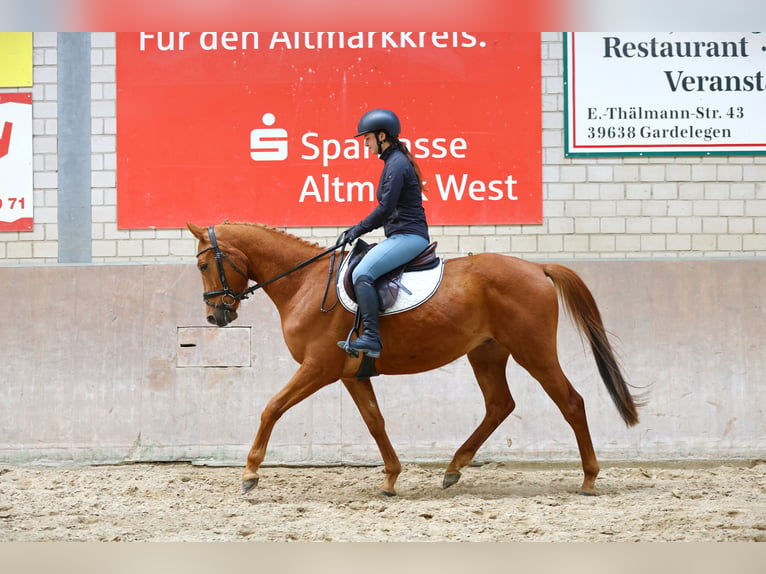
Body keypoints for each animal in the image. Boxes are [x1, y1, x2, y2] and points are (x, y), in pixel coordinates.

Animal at [189, 223, 644, 498]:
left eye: (205, 263)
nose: (215, 316)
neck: (305, 283)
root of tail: (537, 267)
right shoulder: (351, 375)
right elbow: (375, 421)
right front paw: (391, 478)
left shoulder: (318, 368)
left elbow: (272, 407)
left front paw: (250, 474)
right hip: (486, 353)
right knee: (499, 405)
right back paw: (454, 468)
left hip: (534, 351)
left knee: (571, 402)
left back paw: (588, 478)